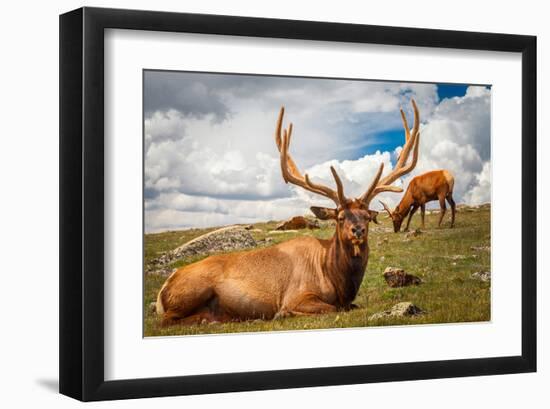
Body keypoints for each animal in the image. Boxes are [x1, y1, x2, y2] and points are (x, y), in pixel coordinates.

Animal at [155, 99, 422, 326]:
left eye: (367, 216)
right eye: (340, 217)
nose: (359, 230)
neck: (338, 280)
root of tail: (162, 291)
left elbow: (353, 306)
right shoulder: (297, 295)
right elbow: (328, 308)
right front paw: (282, 313)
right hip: (192, 289)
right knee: (166, 320)